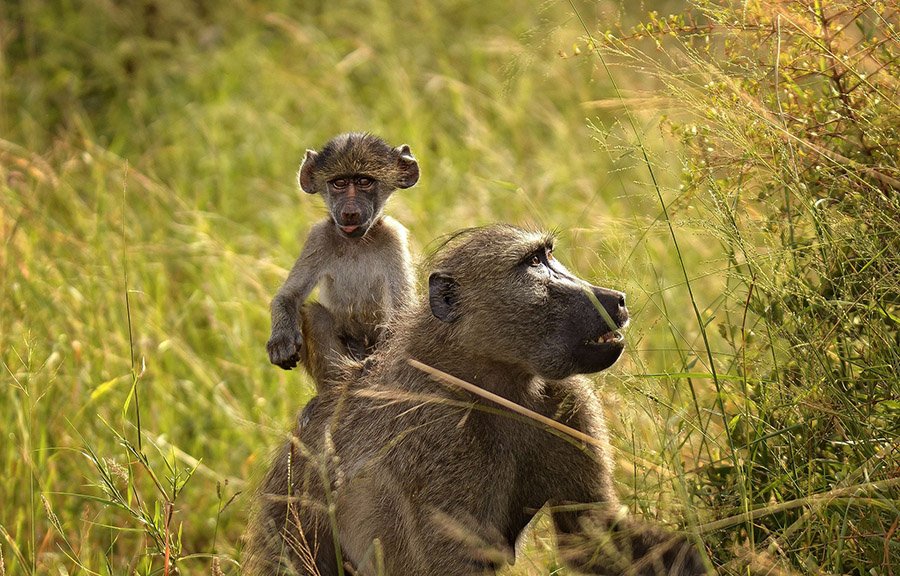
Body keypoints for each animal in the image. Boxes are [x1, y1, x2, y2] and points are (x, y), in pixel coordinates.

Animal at [245, 225, 709, 575]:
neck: (491, 384)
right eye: (533, 263)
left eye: (549, 255)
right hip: (285, 515)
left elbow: (591, 534)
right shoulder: (440, 439)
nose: (616, 299)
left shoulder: (567, 400)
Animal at [266, 132, 419, 389]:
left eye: (364, 181)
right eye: (339, 183)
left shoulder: (393, 236)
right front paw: (281, 340)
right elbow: (289, 296)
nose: (349, 213)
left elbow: (402, 309)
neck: (356, 243)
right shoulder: (318, 237)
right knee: (314, 314)